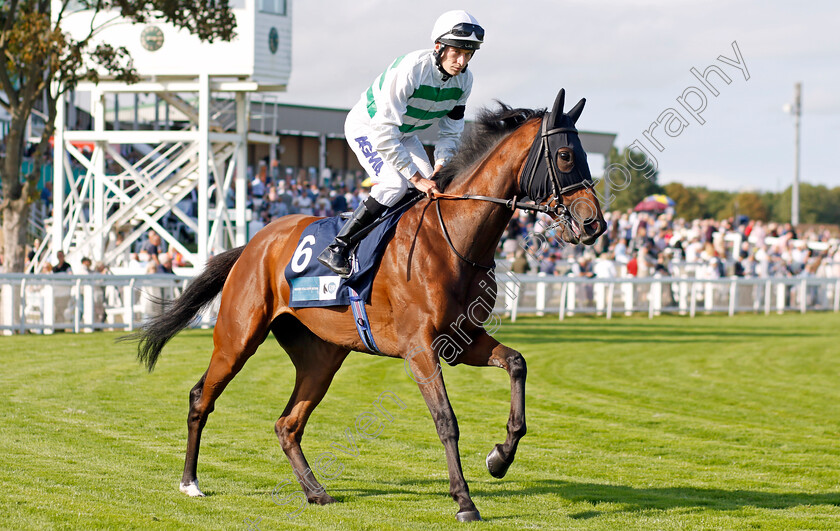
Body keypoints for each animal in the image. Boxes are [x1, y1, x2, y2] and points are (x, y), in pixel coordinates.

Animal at [130, 89, 604, 520]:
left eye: (583, 154)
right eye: (565, 156)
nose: (593, 224)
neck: (452, 238)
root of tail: (254, 242)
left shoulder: (462, 340)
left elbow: (517, 364)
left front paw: (499, 458)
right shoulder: (420, 347)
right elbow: (446, 420)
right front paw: (464, 501)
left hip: (321, 357)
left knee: (288, 424)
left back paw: (316, 492)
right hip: (238, 336)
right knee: (201, 398)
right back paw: (190, 482)